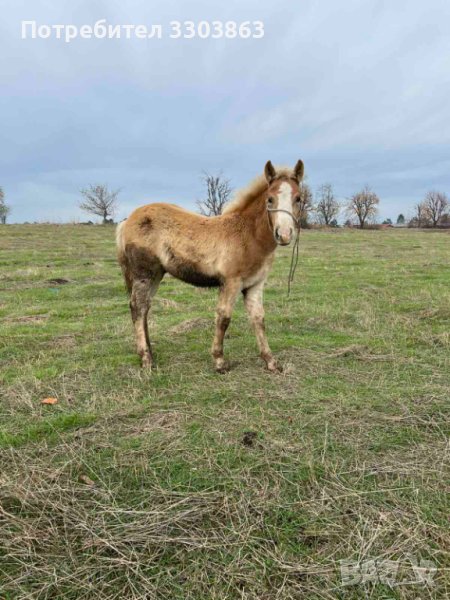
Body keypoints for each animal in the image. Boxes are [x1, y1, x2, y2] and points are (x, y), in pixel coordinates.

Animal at [118, 159, 304, 370]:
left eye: (298, 198)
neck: (247, 236)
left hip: (157, 274)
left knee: (145, 307)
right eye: (270, 199)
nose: (284, 234)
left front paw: (271, 361)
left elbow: (258, 319)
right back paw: (146, 359)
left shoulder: (255, 284)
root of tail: (127, 221)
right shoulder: (231, 282)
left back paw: (150, 352)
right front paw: (219, 361)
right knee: (138, 307)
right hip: (144, 273)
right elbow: (223, 318)